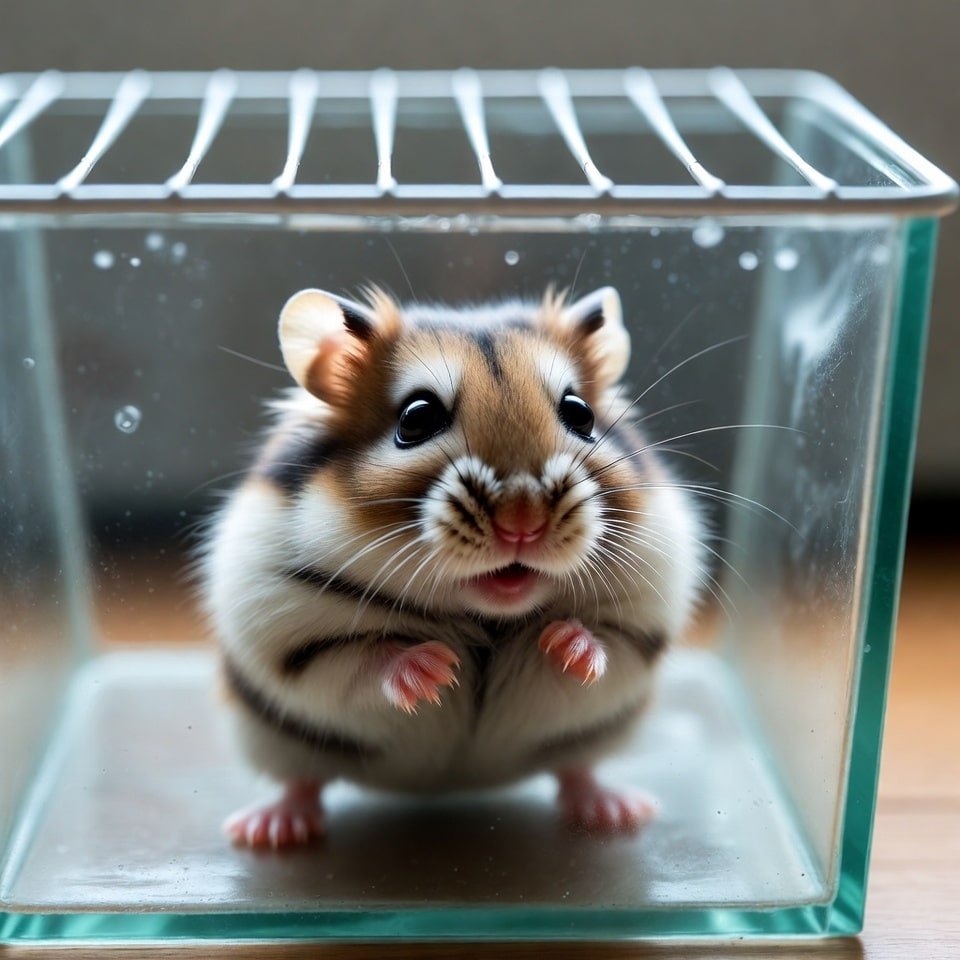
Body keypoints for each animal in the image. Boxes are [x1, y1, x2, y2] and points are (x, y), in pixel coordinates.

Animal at [200, 284, 704, 849]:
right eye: (415, 418)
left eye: (580, 414)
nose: (523, 524)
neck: (485, 617)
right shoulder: (292, 636)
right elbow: (364, 660)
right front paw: (437, 671)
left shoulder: (638, 623)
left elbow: (604, 649)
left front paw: (562, 643)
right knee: (302, 781)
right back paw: (268, 831)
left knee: (576, 770)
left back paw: (618, 813)